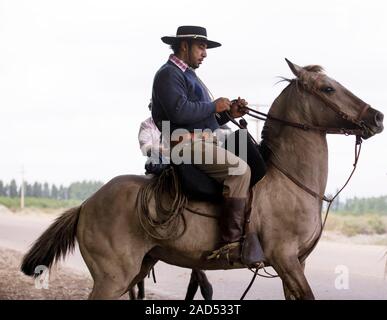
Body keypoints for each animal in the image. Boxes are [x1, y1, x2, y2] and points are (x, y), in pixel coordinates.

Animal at [22, 59, 384, 300]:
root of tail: (85, 205)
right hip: (112, 278)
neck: (288, 178)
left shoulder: (297, 264)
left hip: (137, 269)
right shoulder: (285, 259)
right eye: (327, 88)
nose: (377, 117)